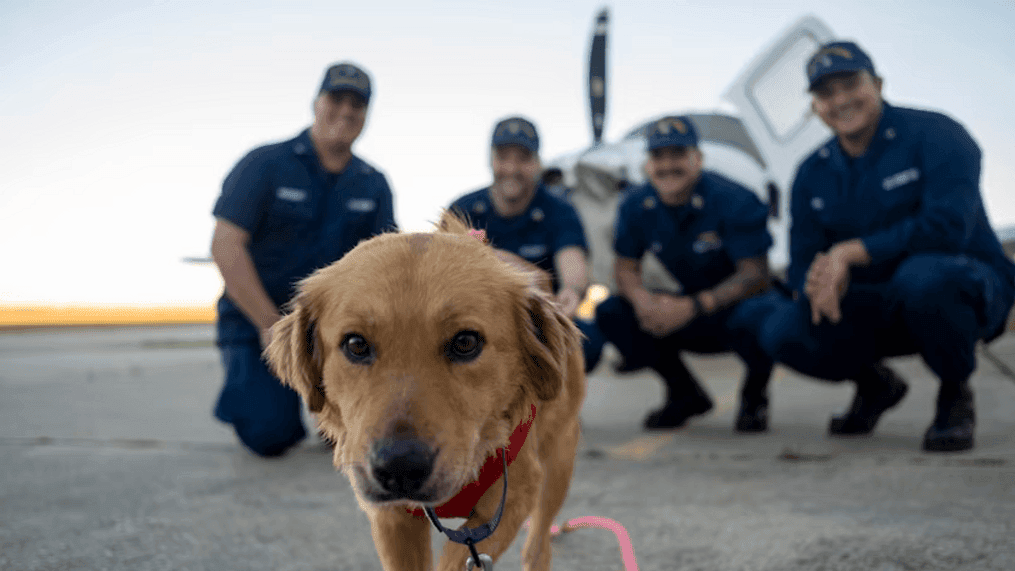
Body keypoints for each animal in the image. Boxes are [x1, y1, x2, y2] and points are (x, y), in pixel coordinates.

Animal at [263, 211, 588, 567]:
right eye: (356, 344)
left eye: (466, 342)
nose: (399, 469)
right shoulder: (392, 519)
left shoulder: (514, 497)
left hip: (559, 464)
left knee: (538, 543)